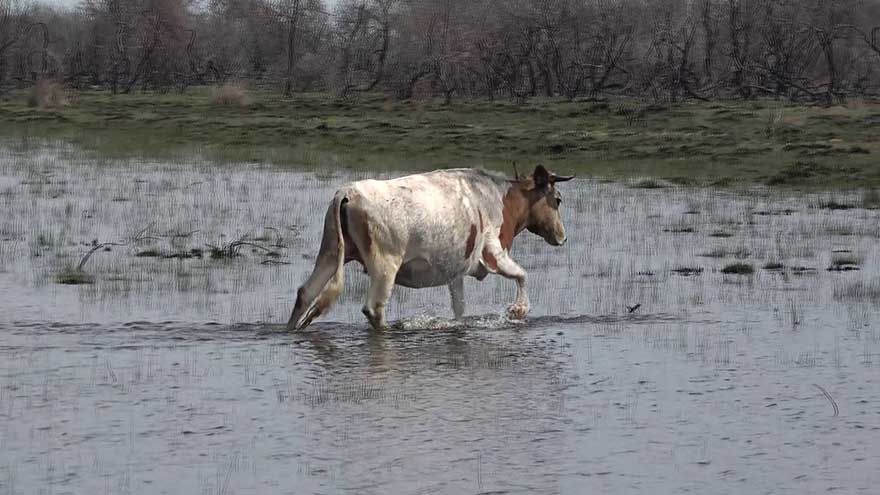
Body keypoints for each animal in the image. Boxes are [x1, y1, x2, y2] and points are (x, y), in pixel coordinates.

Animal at [288, 165, 576, 332]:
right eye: (558, 200)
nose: (562, 237)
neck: (500, 198)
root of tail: (348, 193)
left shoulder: (456, 270)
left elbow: (459, 307)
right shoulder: (493, 253)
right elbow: (522, 274)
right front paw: (518, 310)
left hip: (330, 253)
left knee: (305, 293)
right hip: (385, 265)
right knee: (374, 308)